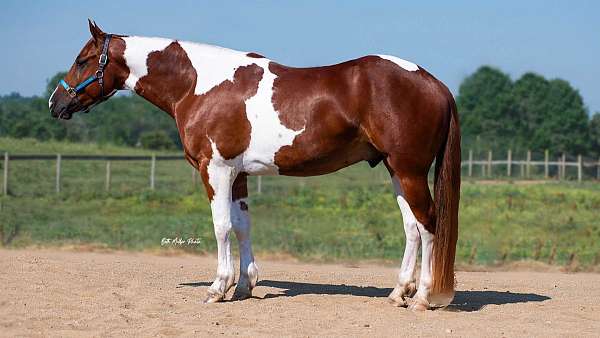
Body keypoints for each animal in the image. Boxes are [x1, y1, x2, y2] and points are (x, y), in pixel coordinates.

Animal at [50, 21, 460, 310]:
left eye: (82, 60)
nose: (56, 103)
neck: (199, 84)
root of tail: (434, 82)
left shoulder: (215, 170)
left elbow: (220, 227)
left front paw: (218, 288)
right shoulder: (239, 174)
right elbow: (242, 225)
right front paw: (245, 286)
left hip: (409, 171)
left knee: (428, 225)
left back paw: (422, 297)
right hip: (396, 171)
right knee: (411, 227)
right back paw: (398, 292)